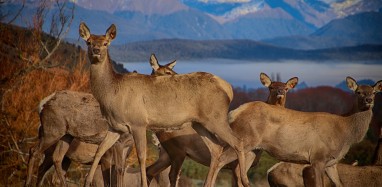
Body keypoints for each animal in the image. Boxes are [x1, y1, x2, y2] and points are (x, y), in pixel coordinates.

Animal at [79, 21, 249, 187]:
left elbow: (142, 156)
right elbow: (99, 150)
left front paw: (143, 184)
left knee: (237, 141)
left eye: (106, 43)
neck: (111, 93)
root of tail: (228, 88)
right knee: (216, 148)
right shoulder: (115, 127)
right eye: (88, 42)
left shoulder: (138, 122)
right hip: (200, 123)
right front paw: (87, 181)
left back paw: (245, 180)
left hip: (216, 118)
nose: (96, 50)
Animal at [146, 72, 298, 187]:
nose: (280, 92)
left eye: (286, 88)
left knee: (150, 170)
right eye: (271, 87)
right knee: (171, 175)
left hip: (165, 154)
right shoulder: (237, 164)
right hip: (177, 151)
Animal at [200, 76, 382, 186]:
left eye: (374, 92)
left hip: (253, 149)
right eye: (358, 92)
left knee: (238, 170)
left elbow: (339, 184)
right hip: (243, 140)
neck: (344, 131)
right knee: (220, 159)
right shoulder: (317, 157)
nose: (369, 100)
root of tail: (233, 113)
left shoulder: (332, 163)